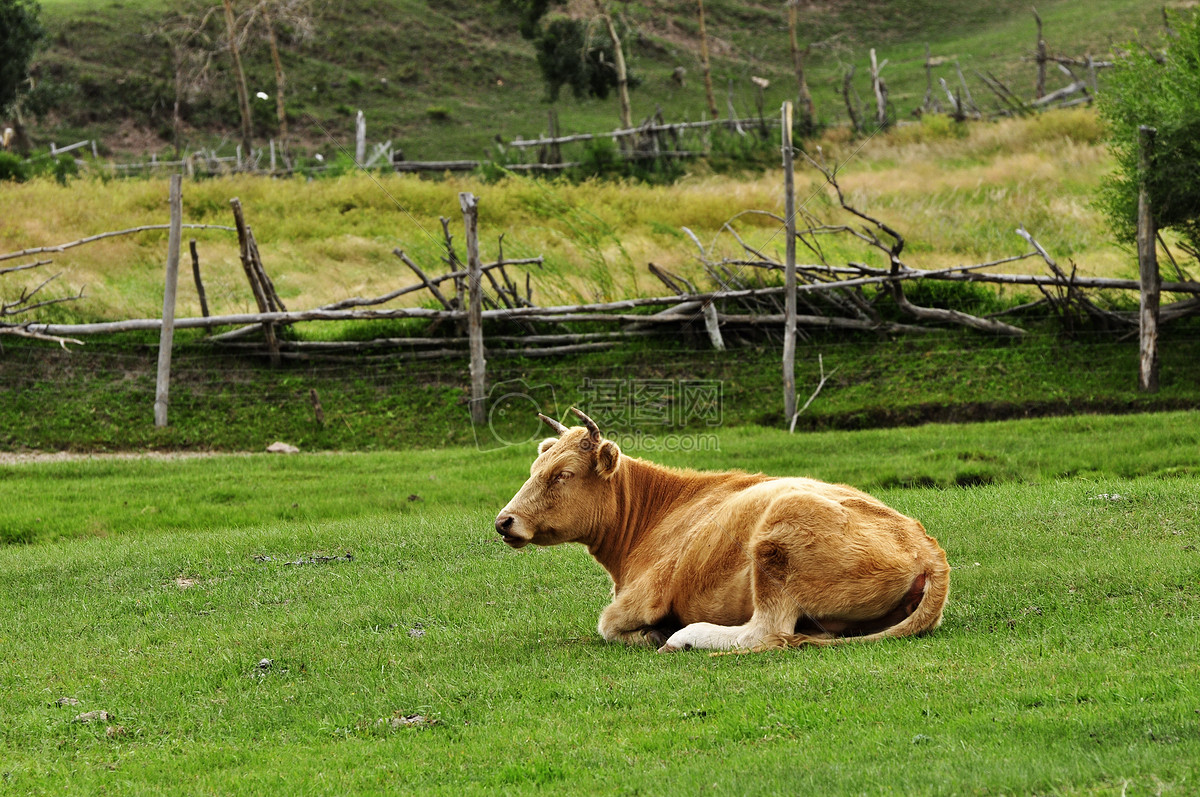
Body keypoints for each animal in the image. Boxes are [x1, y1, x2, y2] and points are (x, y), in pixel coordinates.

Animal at [492, 408, 950, 652]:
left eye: (563, 475)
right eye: (534, 469)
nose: (503, 521)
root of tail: (929, 551)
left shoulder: (640, 597)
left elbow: (607, 625)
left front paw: (655, 631)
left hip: (777, 539)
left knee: (765, 630)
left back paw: (684, 637)